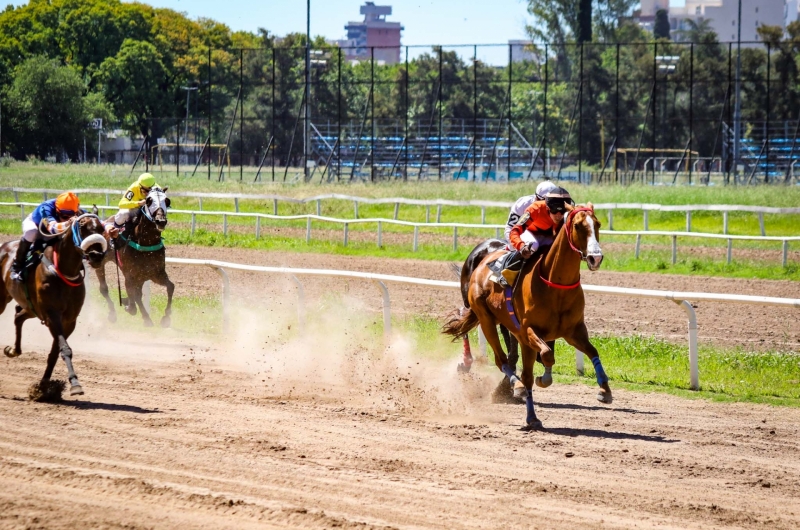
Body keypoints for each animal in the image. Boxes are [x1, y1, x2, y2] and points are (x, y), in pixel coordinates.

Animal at [0, 212, 108, 398]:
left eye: (101, 228)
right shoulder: (52, 315)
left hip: (31, 308)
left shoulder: (69, 320)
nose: (96, 255)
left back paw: (14, 350)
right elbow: (64, 348)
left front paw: (43, 387)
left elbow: (55, 353)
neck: (63, 271)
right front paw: (75, 385)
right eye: (82, 228)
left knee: (18, 316)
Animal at [95, 186, 173, 326]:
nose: (161, 221)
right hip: (101, 262)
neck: (146, 241)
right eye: (149, 200)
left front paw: (166, 317)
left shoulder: (156, 273)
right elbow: (135, 296)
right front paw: (145, 317)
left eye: (167, 201)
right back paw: (113, 313)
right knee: (104, 288)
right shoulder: (131, 274)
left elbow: (170, 287)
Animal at [444, 203, 608, 428]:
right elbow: (546, 355)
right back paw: (516, 388)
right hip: (485, 318)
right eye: (578, 225)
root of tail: (483, 261)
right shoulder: (528, 330)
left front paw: (604, 390)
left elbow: (591, 352)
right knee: (502, 360)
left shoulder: (573, 331)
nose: (595, 257)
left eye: (597, 224)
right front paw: (536, 381)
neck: (555, 284)